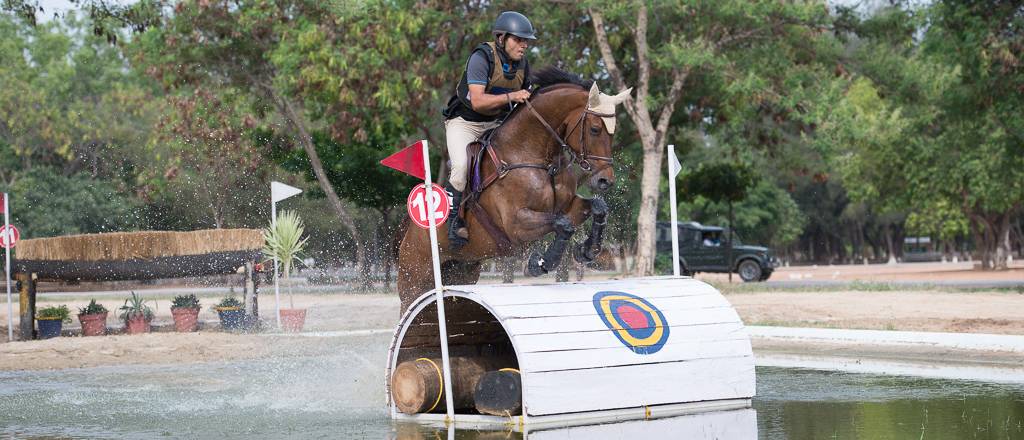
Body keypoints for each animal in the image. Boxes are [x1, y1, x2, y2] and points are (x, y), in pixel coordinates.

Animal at [396, 68, 631, 313]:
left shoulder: (568, 206)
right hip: (415, 280)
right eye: (595, 129)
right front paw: (541, 263)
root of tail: (408, 229)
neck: (534, 154)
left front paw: (586, 251)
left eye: (612, 133)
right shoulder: (516, 224)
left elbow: (597, 208)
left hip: (462, 271)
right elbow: (563, 225)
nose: (605, 181)